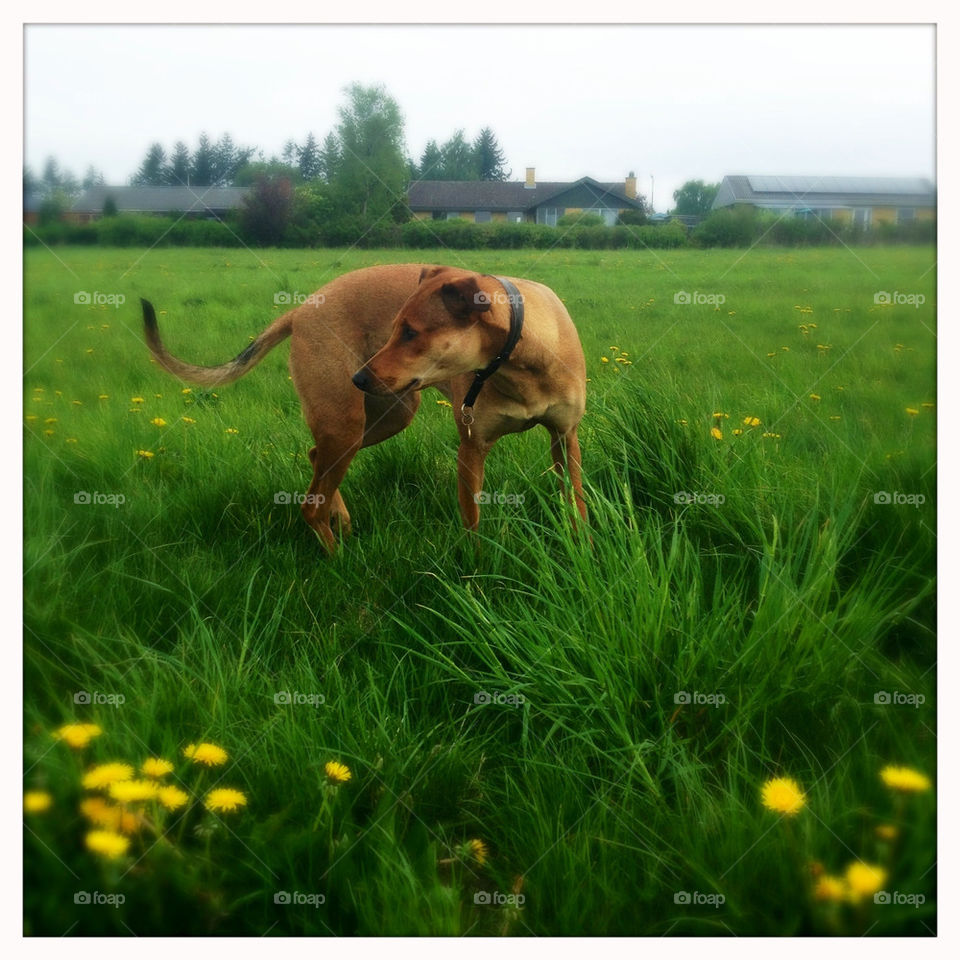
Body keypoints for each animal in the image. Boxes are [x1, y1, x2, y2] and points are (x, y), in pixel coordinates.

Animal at [144, 262, 584, 552]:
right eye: (396, 328)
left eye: (411, 333)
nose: (358, 377)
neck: (520, 358)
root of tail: (300, 310)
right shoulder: (472, 447)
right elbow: (472, 525)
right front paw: (477, 574)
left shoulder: (565, 437)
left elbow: (576, 503)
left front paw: (582, 551)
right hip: (348, 423)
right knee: (310, 506)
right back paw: (337, 560)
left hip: (387, 415)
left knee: (315, 457)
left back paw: (341, 522)